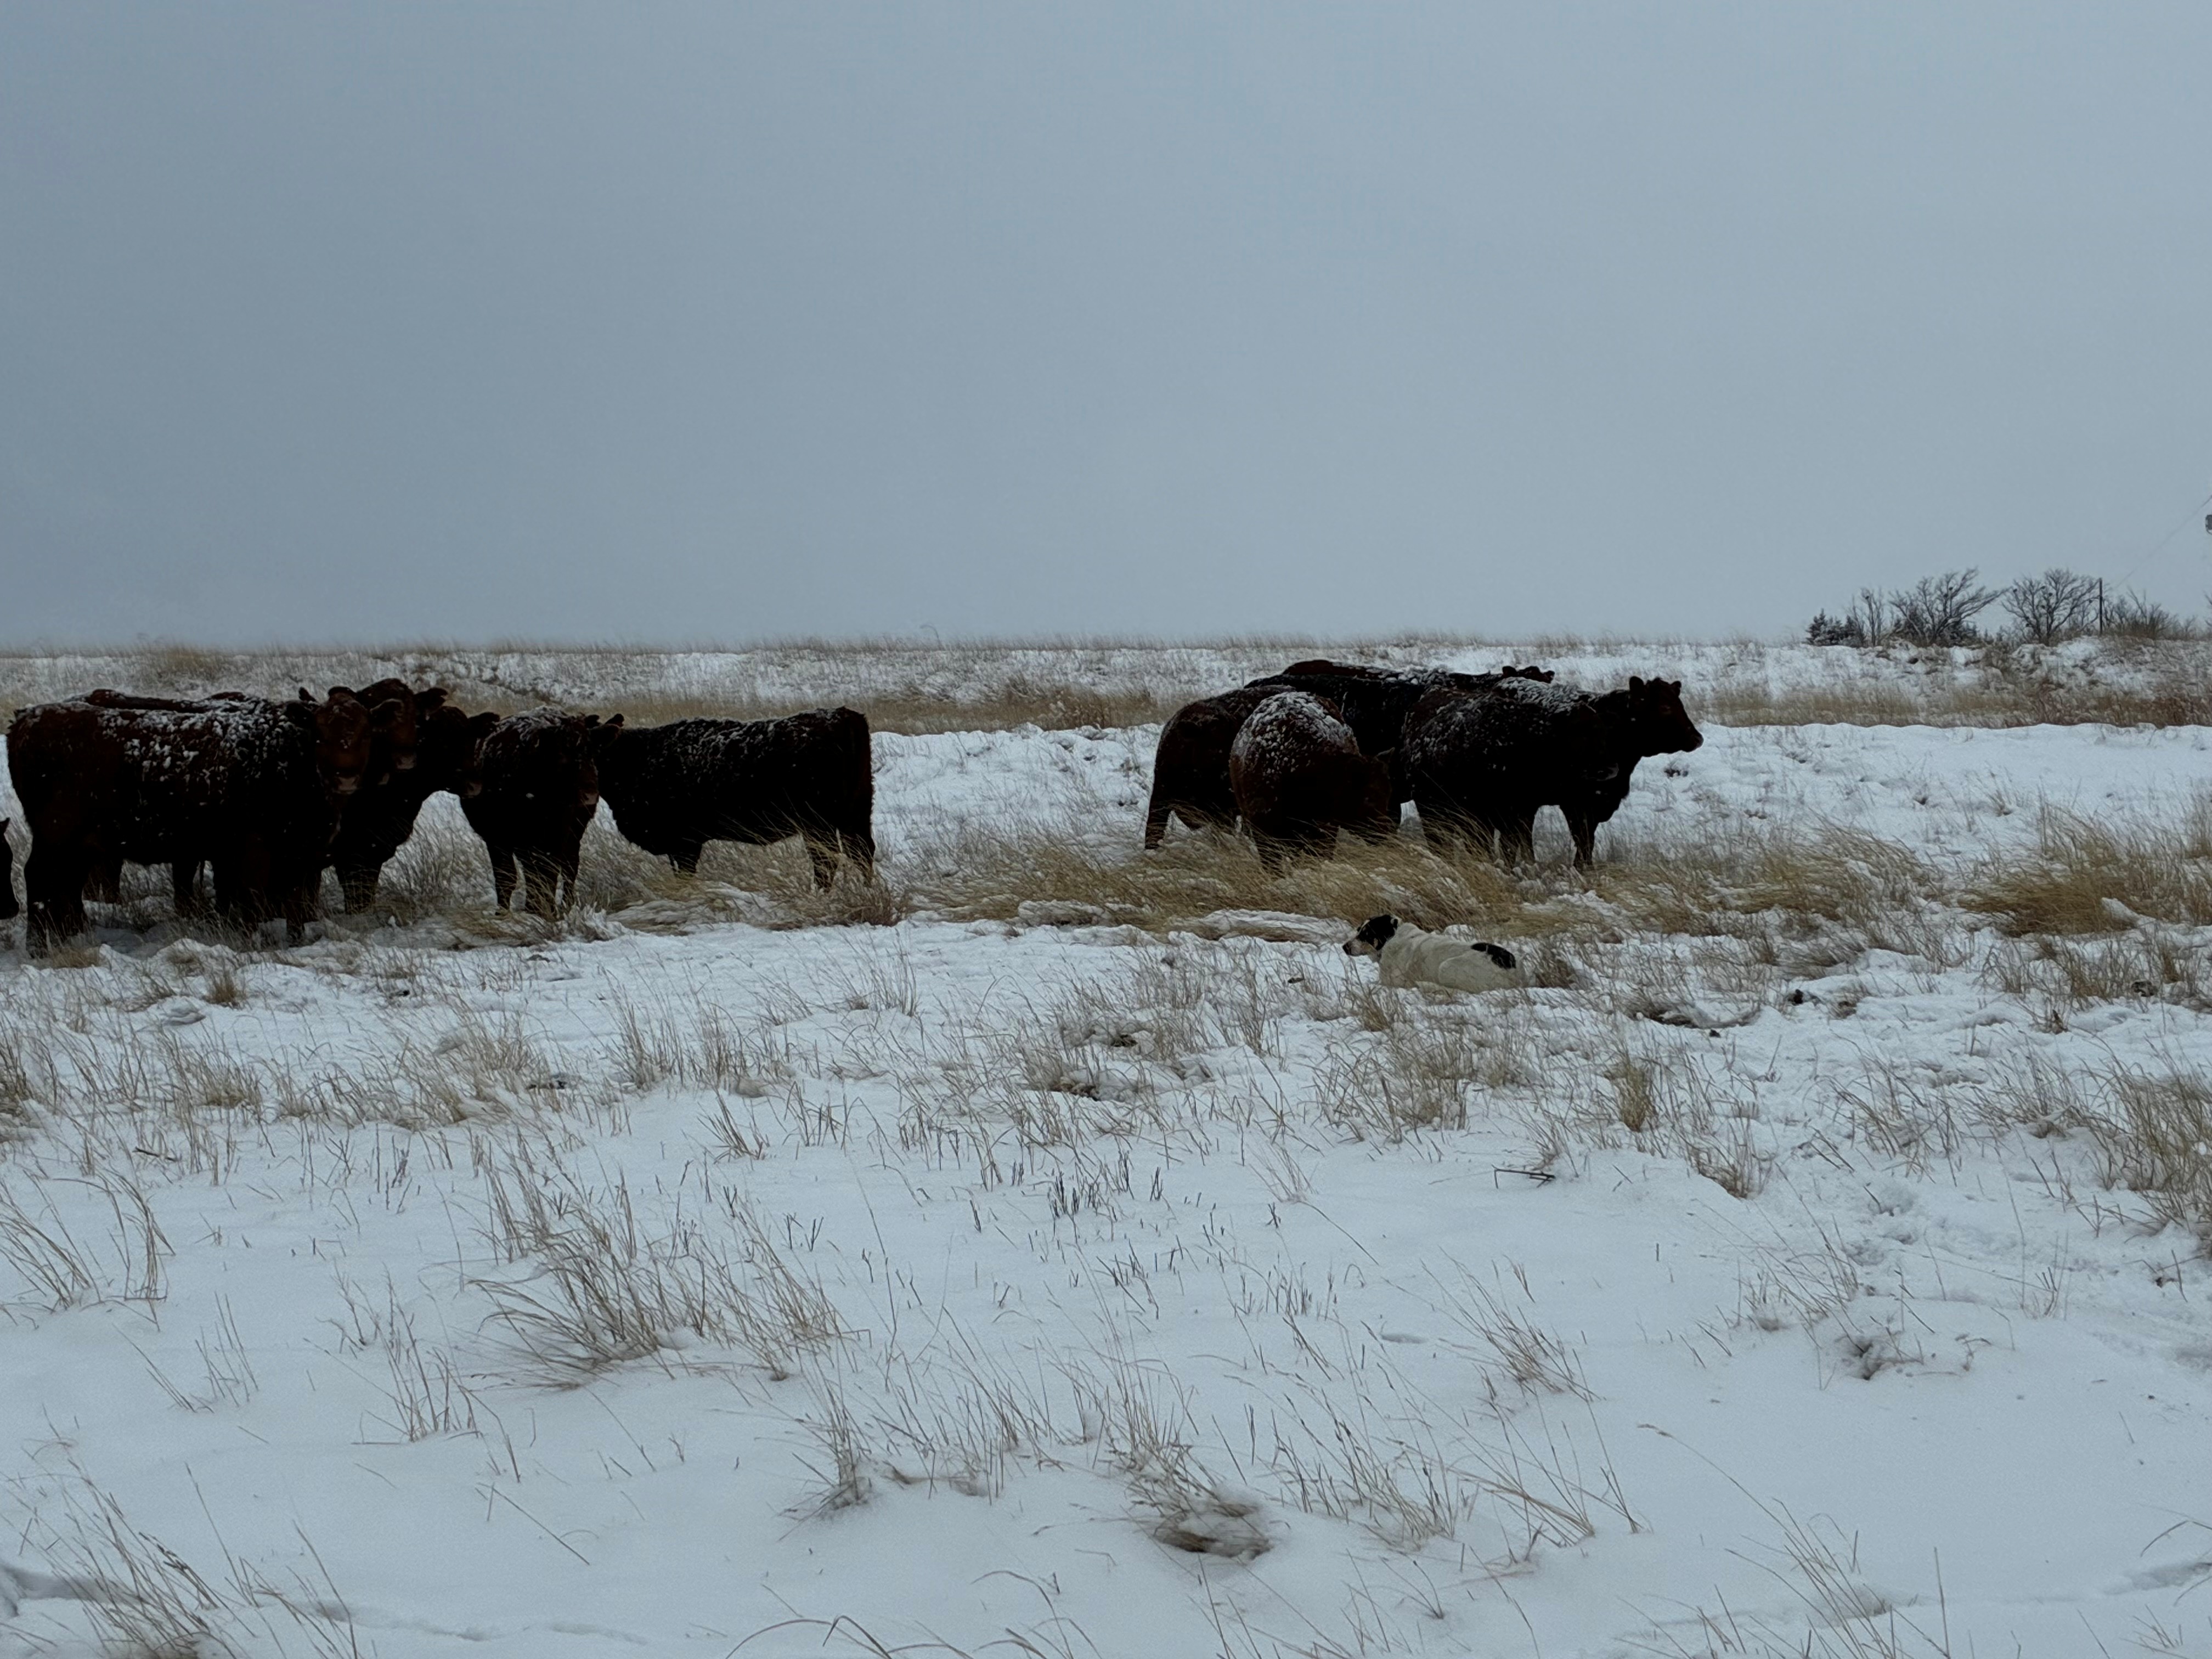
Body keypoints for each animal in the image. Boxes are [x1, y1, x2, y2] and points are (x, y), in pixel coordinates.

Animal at [7, 691, 386, 949]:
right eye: (320, 734)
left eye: (367, 734)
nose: (345, 775)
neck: (282, 755)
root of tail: (26, 720)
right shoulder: (253, 851)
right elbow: (251, 900)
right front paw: (250, 943)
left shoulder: (297, 855)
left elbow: (294, 904)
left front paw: (295, 941)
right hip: (55, 836)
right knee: (39, 879)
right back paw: (38, 947)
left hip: (79, 844)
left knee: (65, 888)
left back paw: (72, 937)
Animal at [459, 710, 626, 917]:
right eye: (561, 755)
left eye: (594, 752)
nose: (590, 793)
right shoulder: (497, 837)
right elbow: (507, 876)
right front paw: (505, 914)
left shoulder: (555, 834)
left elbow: (548, 872)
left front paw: (545, 911)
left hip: (573, 833)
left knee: (568, 868)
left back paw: (564, 906)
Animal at [598, 708, 875, 889]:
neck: (638, 756)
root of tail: (844, 716)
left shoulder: (686, 843)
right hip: (855, 816)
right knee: (861, 853)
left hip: (819, 825)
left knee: (828, 862)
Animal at [1403, 674, 1703, 867]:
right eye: (1665, 707)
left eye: (1679, 704)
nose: (1697, 738)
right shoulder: (1576, 804)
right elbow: (1583, 840)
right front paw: (1582, 868)